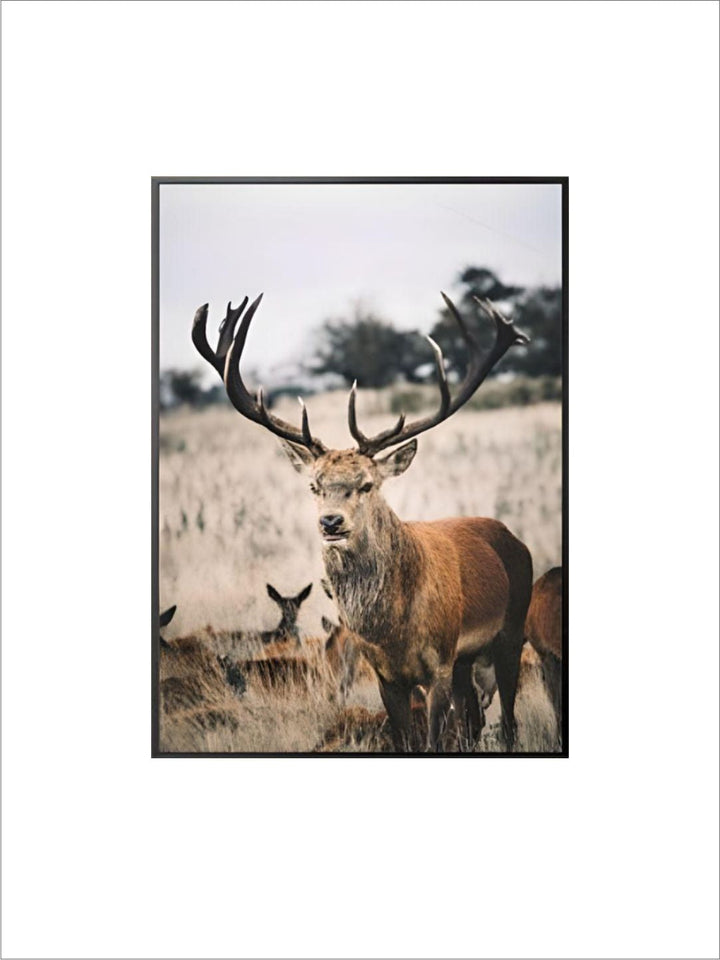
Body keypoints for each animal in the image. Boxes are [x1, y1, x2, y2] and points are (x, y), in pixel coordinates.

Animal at [192, 291, 533, 751]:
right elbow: (407, 741)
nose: (331, 522)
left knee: (509, 720)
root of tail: (513, 538)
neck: (394, 631)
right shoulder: (387, 674)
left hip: (510, 630)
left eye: (367, 484)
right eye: (314, 485)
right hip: (466, 659)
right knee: (474, 723)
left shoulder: (438, 664)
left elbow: (432, 741)